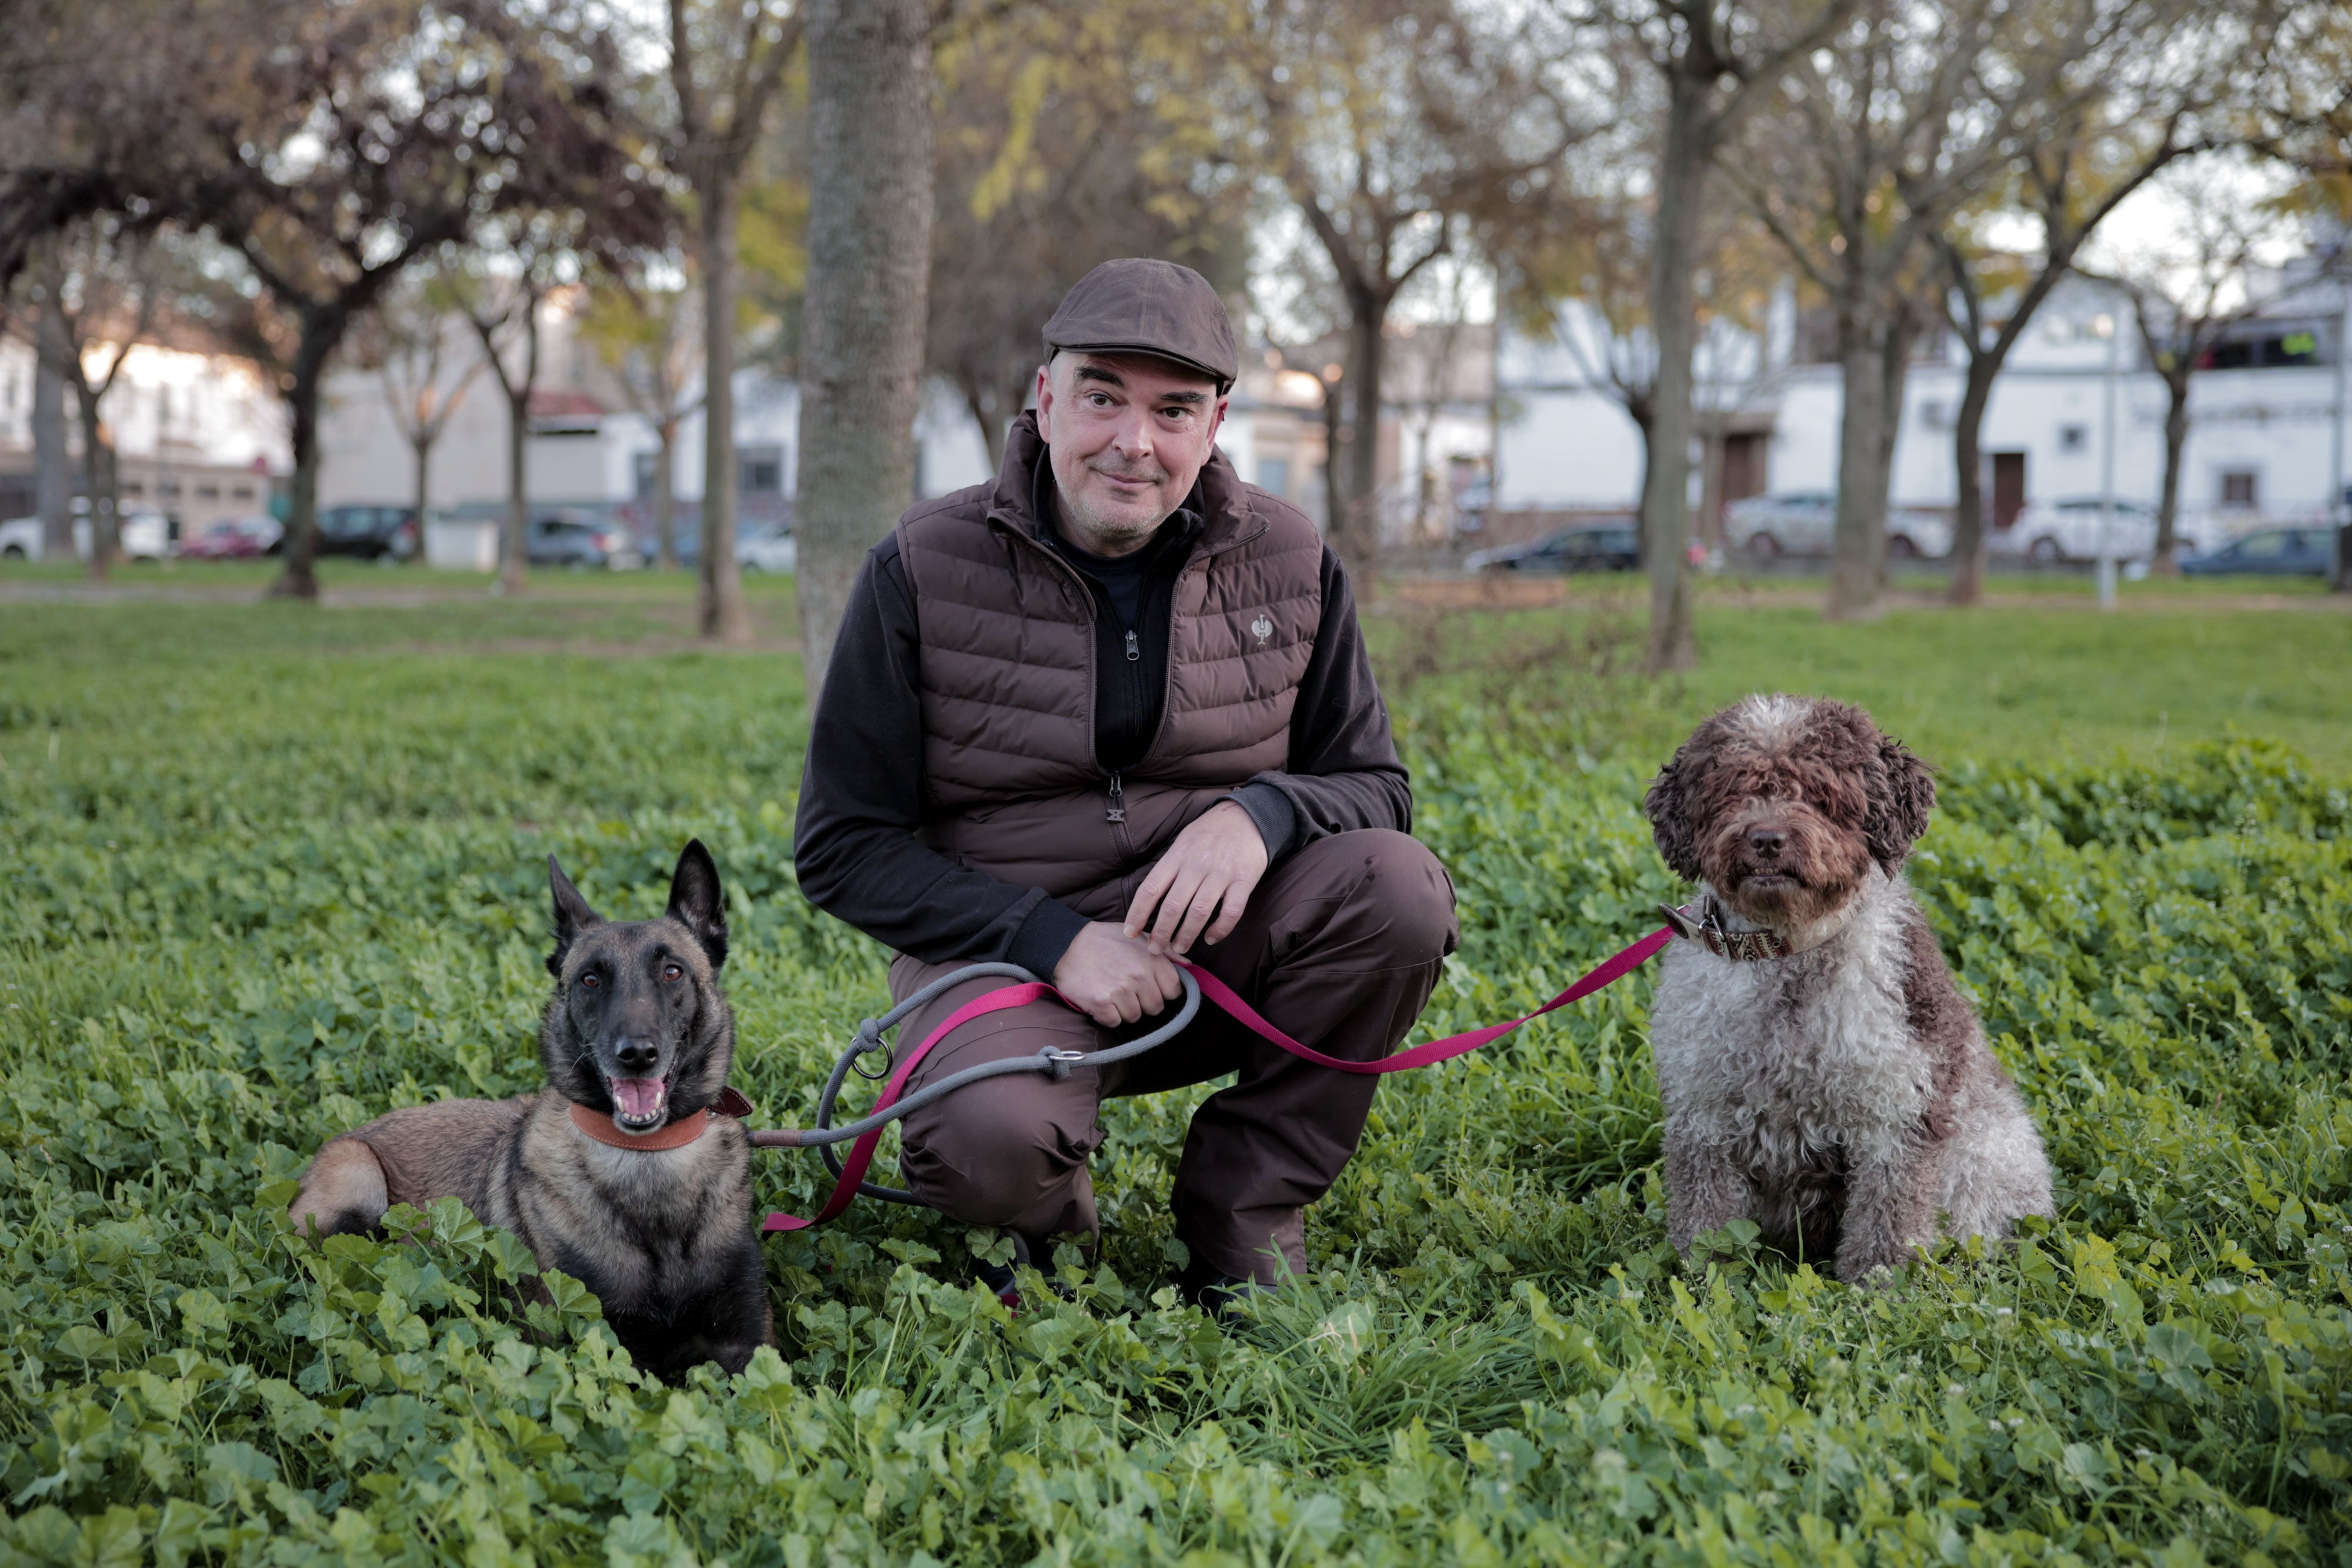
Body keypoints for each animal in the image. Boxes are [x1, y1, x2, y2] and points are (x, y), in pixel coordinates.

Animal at [290, 846, 771, 1373]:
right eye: (590, 979)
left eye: (673, 972)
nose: (637, 1054)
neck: (649, 1158)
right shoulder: (604, 1344)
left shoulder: (747, 1345)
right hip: (358, 1176)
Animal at [1646, 700, 2051, 1288]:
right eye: (1731, 790)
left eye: (1821, 793)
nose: (1766, 839)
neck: (1786, 952)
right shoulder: (1704, 1112)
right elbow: (1707, 1217)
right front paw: (1703, 1279)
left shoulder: (1900, 1107)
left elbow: (1888, 1214)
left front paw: (1875, 1285)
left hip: (1983, 1164)